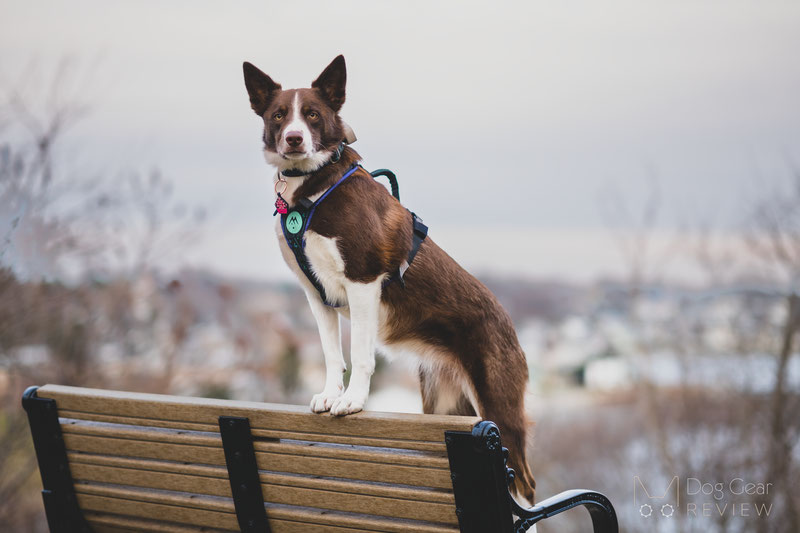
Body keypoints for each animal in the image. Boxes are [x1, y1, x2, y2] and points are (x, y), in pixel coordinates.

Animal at [241, 55, 536, 502]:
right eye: (278, 115)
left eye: (312, 115)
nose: (293, 139)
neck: (314, 185)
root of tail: (511, 327)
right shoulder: (315, 292)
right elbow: (332, 353)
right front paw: (331, 395)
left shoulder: (362, 281)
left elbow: (361, 354)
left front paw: (352, 402)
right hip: (446, 403)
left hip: (499, 405)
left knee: (524, 483)